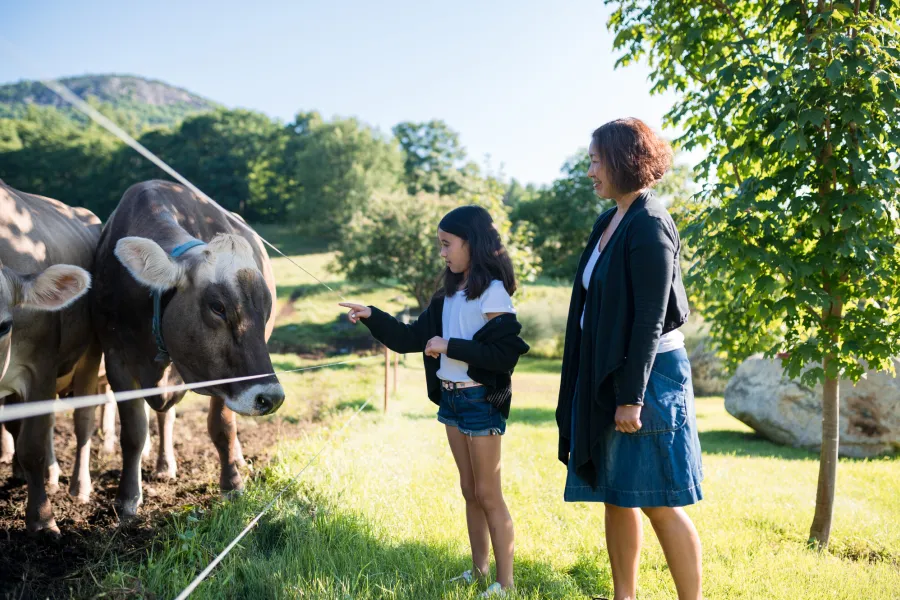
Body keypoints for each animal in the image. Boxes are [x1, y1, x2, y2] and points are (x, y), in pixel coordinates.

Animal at [0, 180, 102, 535]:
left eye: (3, 325)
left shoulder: (39, 367)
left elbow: (31, 445)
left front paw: (42, 520)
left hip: (90, 355)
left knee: (82, 421)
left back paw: (78, 487)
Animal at [91, 180, 284, 519]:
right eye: (218, 306)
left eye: (266, 307)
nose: (270, 398)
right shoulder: (116, 361)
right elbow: (134, 433)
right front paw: (127, 499)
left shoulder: (221, 376)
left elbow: (222, 428)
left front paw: (232, 485)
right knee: (164, 417)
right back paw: (165, 466)